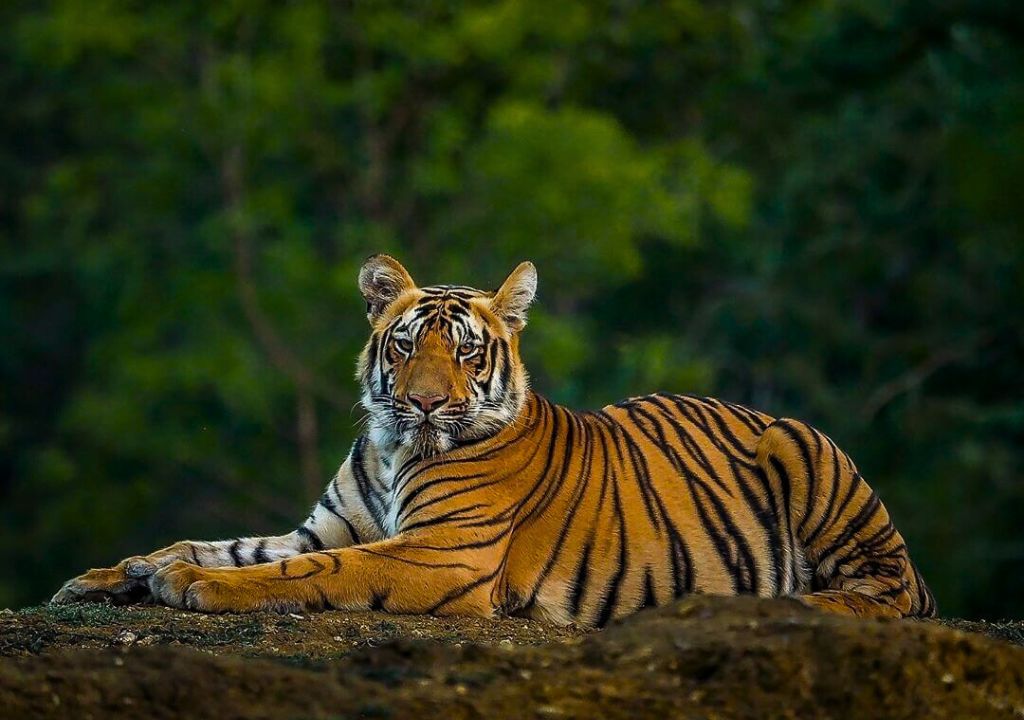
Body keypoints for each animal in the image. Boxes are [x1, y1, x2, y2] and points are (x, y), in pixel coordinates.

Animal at [52, 254, 936, 625]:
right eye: (407, 345)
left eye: (468, 352)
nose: (422, 403)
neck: (391, 447)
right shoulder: (327, 525)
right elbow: (219, 543)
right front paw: (116, 574)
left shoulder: (440, 553)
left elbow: (303, 572)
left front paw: (190, 587)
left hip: (806, 452)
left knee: (889, 594)